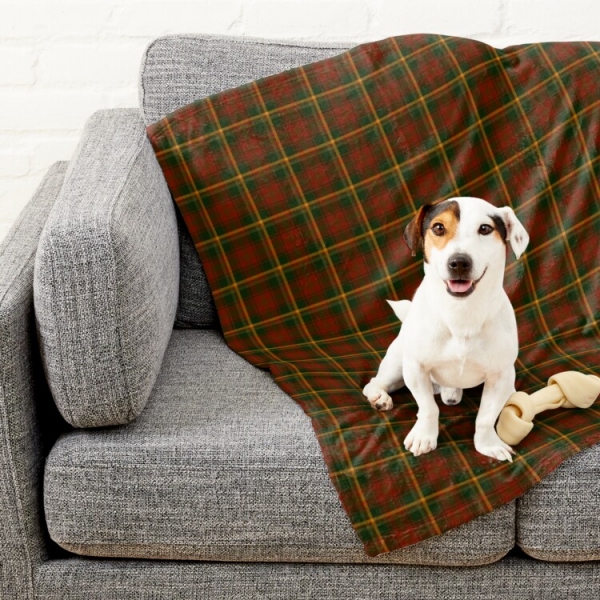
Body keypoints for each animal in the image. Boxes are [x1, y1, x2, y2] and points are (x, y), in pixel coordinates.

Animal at [364, 197, 528, 464]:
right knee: (373, 383)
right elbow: (428, 408)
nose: (459, 262)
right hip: (397, 365)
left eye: (485, 228)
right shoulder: (416, 368)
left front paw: (488, 445)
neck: (461, 314)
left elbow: (485, 417)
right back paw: (379, 397)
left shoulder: (501, 376)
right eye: (438, 228)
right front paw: (424, 437)